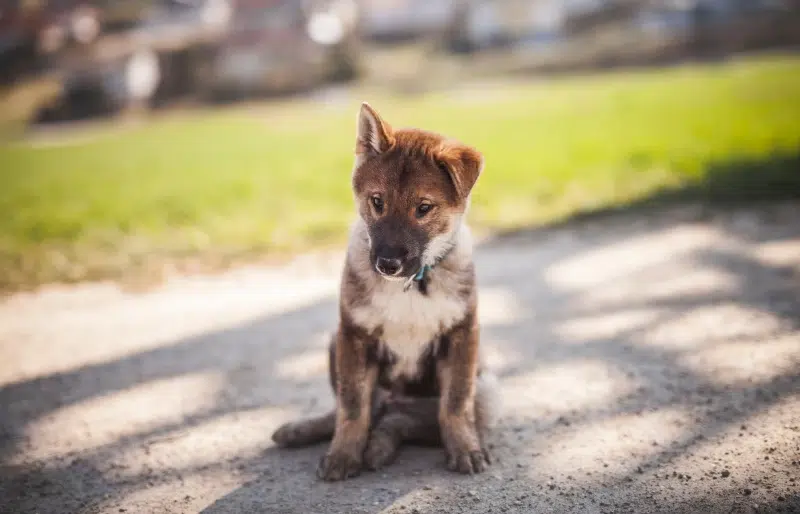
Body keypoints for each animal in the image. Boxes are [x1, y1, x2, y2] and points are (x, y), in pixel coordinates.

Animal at [272, 101, 496, 480]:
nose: (387, 264)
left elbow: (454, 404)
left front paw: (465, 449)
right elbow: (351, 408)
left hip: (488, 391)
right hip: (335, 343)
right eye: (377, 201)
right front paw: (343, 454)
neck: (410, 286)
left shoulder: (462, 334)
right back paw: (303, 430)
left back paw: (380, 445)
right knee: (359, 411)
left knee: (405, 420)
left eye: (424, 208)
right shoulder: (354, 335)